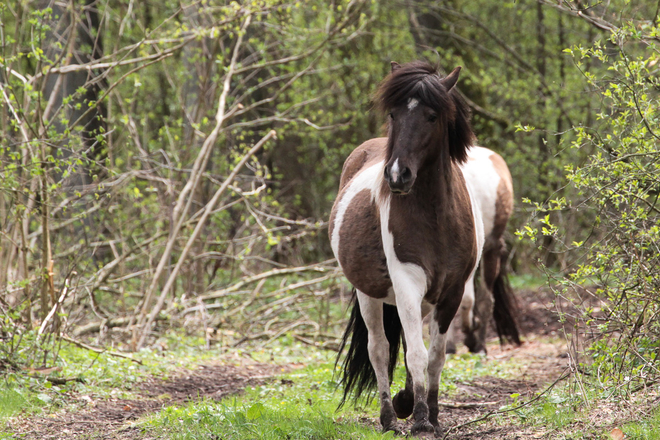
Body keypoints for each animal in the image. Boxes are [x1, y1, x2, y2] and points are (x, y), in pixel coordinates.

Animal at [328, 60, 482, 434]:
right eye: (394, 114)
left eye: (431, 115)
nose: (398, 176)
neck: (436, 217)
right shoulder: (408, 283)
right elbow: (414, 354)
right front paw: (420, 419)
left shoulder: (451, 291)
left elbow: (435, 356)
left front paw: (432, 415)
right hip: (369, 294)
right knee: (380, 349)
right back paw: (388, 416)